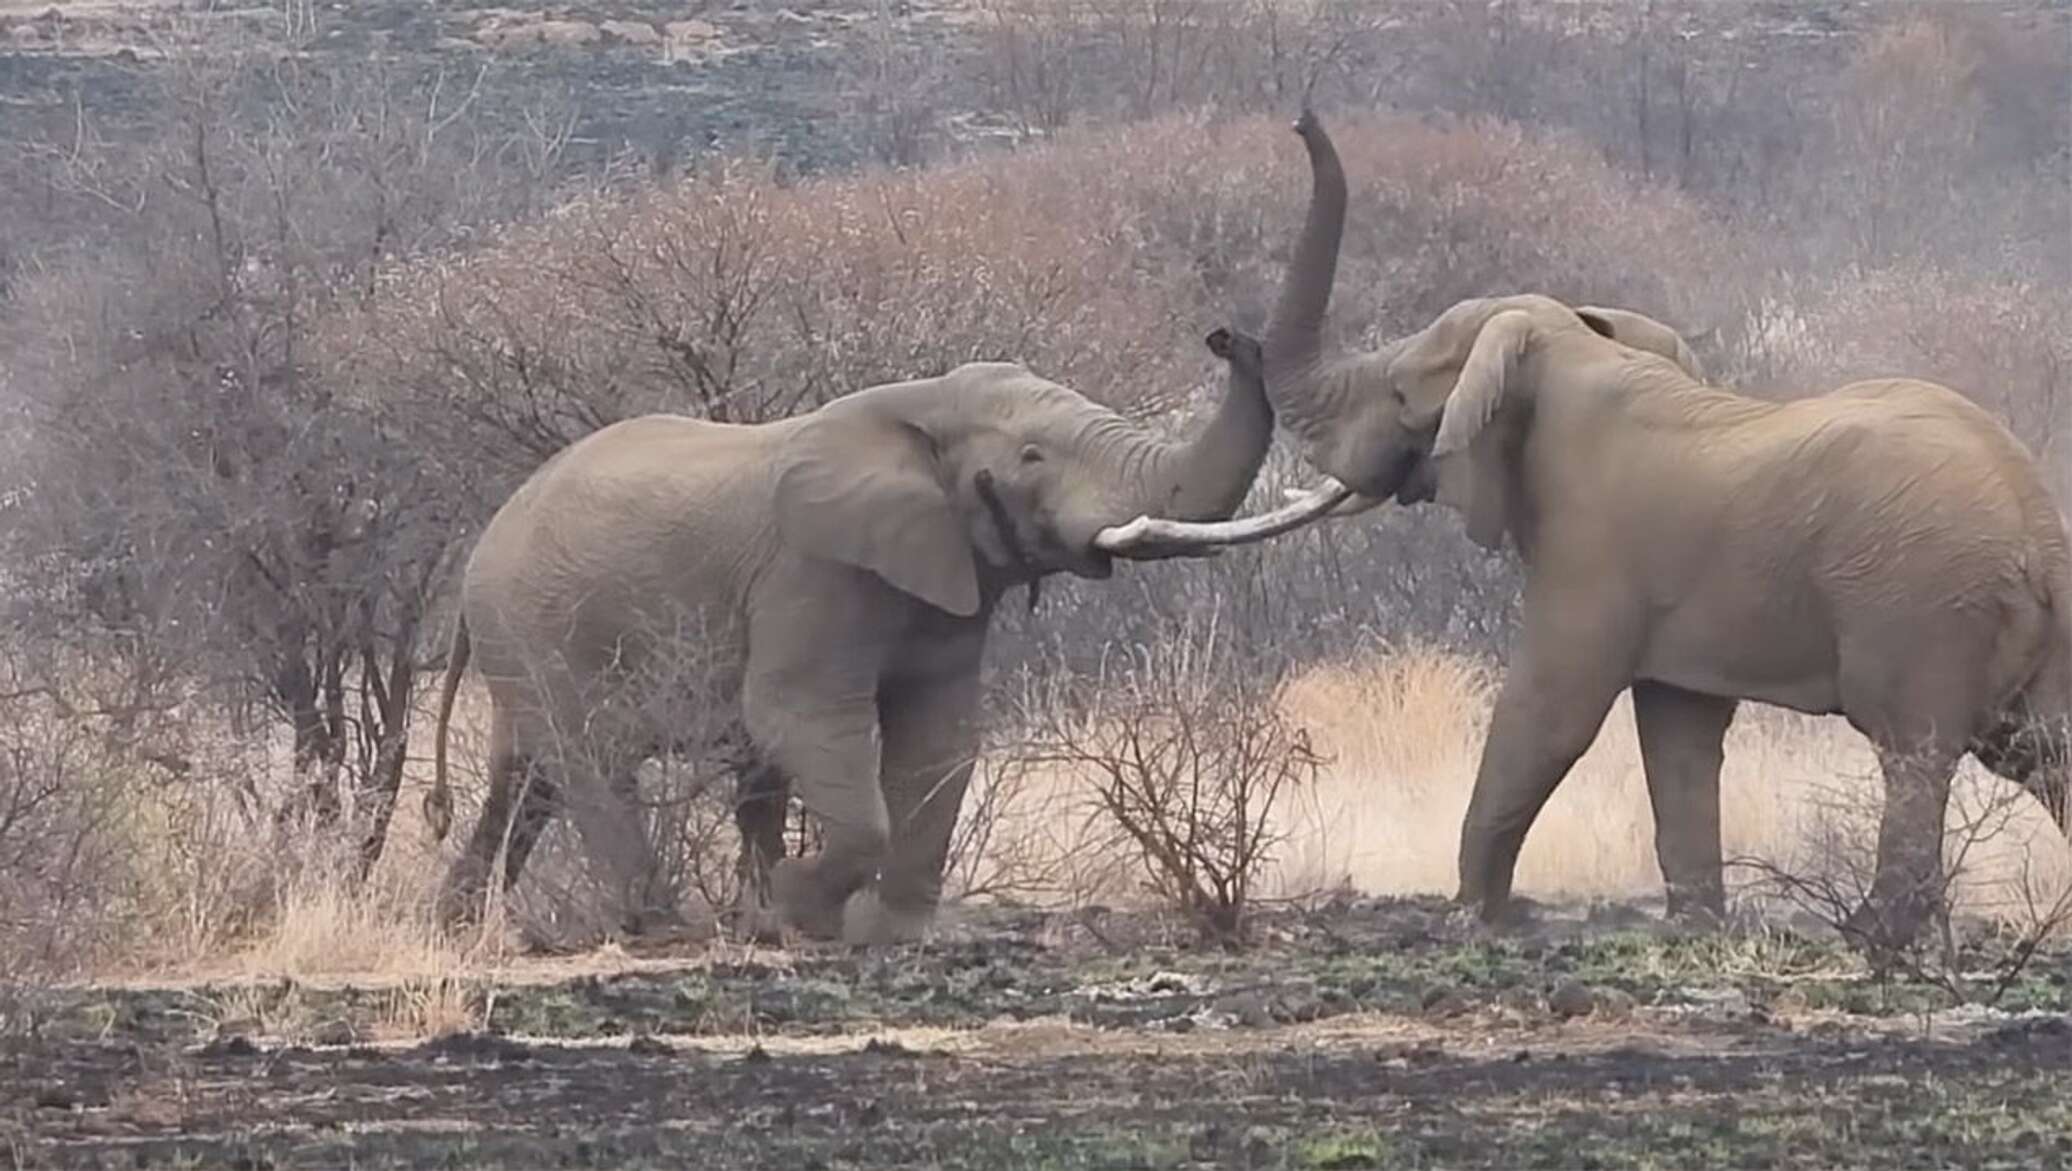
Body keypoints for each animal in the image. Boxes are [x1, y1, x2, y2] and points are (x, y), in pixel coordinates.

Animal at [420, 327, 1268, 940]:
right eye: (1032, 456)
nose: (1231, 337)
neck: (921, 405)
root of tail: (476, 561)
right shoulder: (812, 572)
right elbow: (798, 718)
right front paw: (798, 906)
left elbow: (938, 734)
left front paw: (885, 930)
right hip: (535, 629)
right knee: (589, 768)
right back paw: (660, 929)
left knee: (526, 782)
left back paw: (454, 926)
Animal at [1118, 113, 2072, 945]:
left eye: (1400, 395)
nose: (1222, 336)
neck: (1570, 347)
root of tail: (2033, 525)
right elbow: (1679, 729)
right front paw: (1694, 924)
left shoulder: (1592, 548)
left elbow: (1551, 703)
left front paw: (1471, 918)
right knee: (2043, 749)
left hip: (1919, 605)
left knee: (1914, 752)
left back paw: (1878, 935)